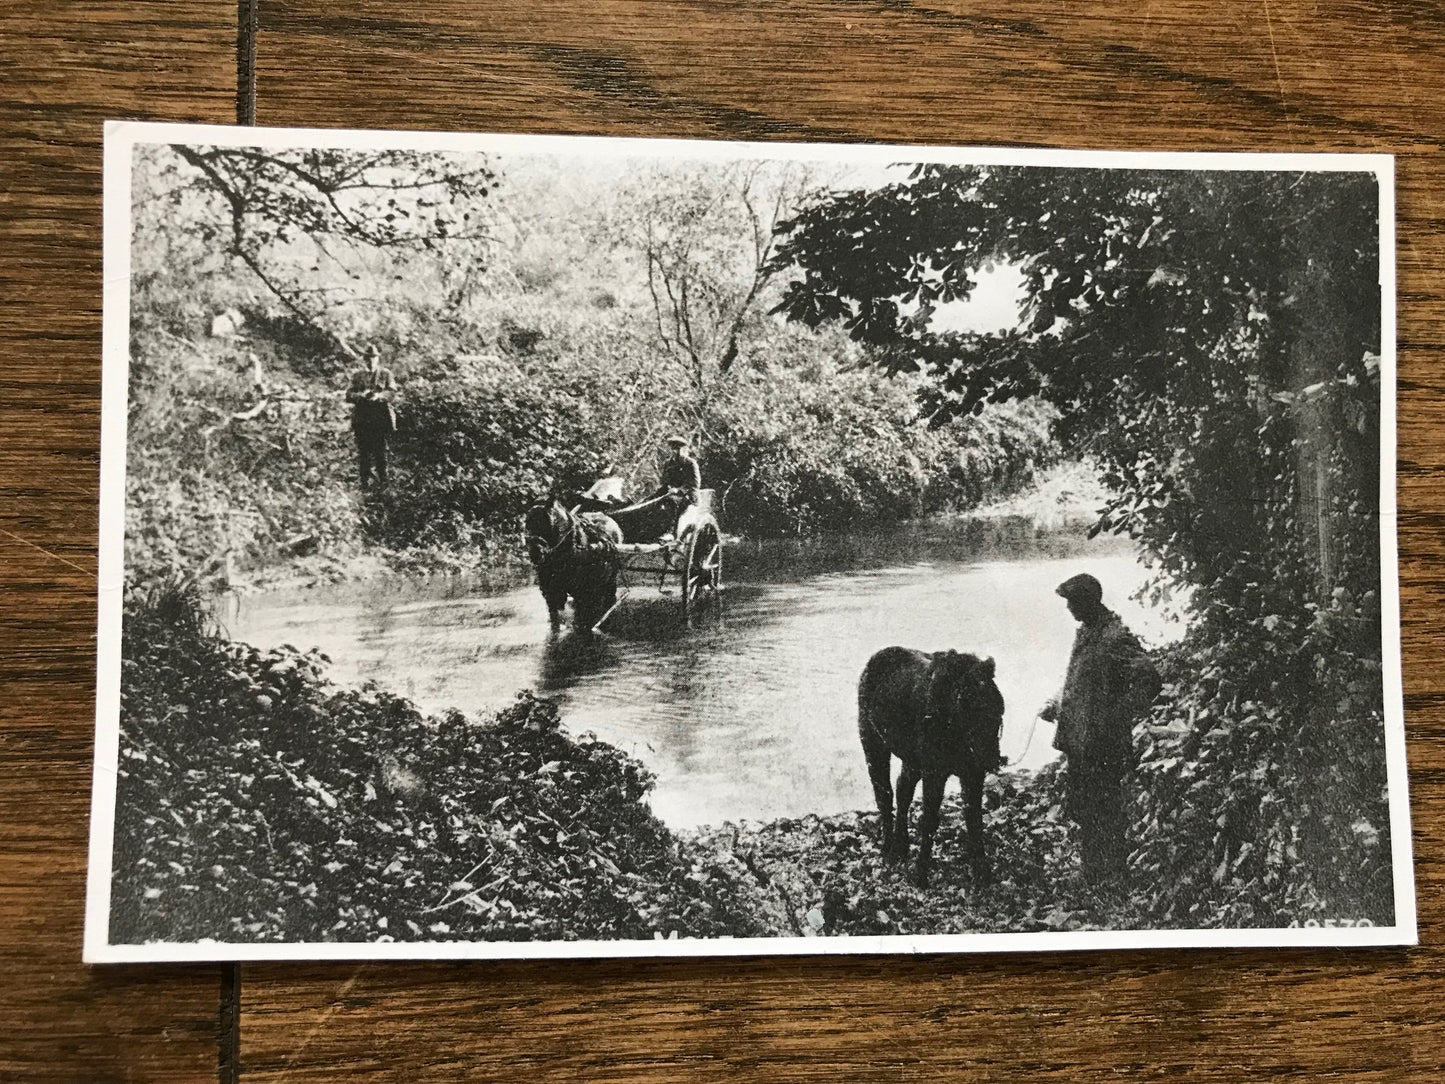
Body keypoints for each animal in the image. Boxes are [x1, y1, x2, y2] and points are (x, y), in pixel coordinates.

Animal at [525, 497, 627, 633]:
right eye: (526, 524)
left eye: (544, 524)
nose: (535, 554)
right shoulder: (551, 593)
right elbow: (555, 621)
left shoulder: (581, 591)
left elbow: (581, 620)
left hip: (610, 578)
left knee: (608, 597)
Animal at [855, 650, 1005, 884]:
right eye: (965, 704)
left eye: (998, 706)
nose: (990, 758)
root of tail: (875, 658)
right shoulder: (934, 773)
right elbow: (930, 820)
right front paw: (921, 873)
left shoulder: (972, 773)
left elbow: (975, 819)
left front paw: (982, 871)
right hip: (873, 743)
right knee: (884, 794)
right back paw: (889, 849)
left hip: (911, 759)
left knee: (903, 790)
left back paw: (900, 846)